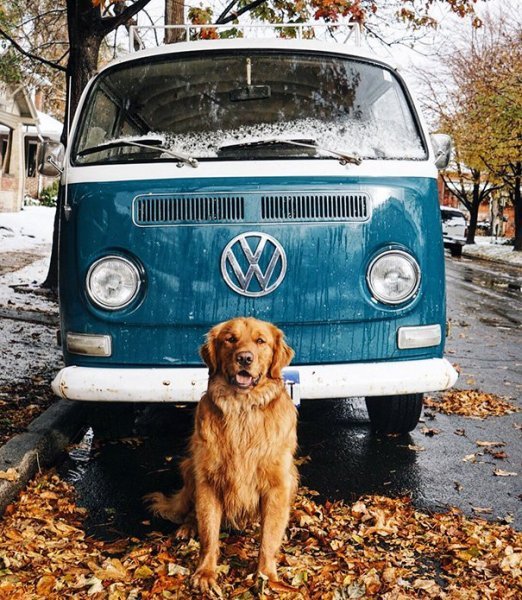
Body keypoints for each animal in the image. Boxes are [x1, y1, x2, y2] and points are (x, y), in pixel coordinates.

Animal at [145, 316, 296, 592]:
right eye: (230, 339)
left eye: (261, 341)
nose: (245, 358)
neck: (243, 410)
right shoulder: (208, 481)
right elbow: (209, 532)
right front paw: (206, 572)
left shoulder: (278, 484)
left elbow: (269, 538)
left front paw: (266, 575)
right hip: (189, 468)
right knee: (191, 511)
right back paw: (187, 527)